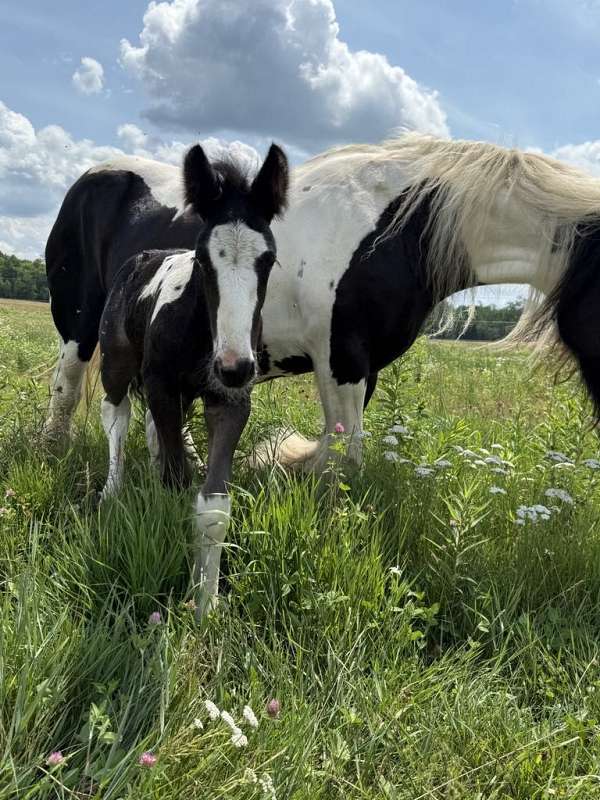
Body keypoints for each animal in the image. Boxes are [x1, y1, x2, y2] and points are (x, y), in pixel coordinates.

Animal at [45, 132, 600, 483]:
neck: (401, 229)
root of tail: (92, 177)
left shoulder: (360, 367)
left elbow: (339, 448)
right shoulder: (341, 360)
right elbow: (345, 455)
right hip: (80, 329)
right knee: (67, 392)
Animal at [99, 141, 288, 615]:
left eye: (268, 259)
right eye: (203, 259)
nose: (234, 367)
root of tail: (140, 259)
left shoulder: (230, 400)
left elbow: (214, 504)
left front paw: (206, 601)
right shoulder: (163, 386)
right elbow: (175, 480)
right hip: (117, 363)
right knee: (117, 416)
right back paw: (111, 490)